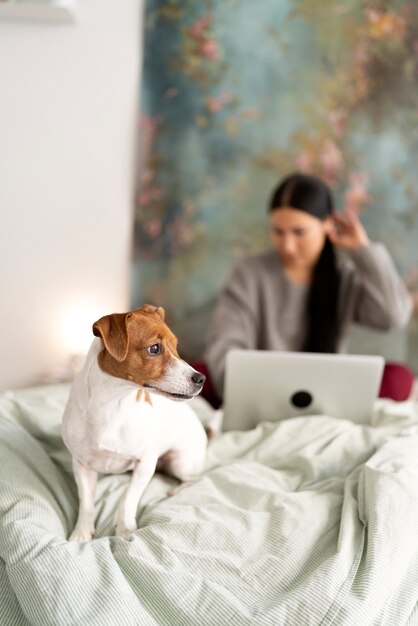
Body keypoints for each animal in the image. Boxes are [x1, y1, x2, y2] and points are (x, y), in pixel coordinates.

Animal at [61, 304, 208, 540]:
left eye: (176, 346)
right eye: (155, 348)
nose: (201, 378)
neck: (113, 405)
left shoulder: (145, 464)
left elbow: (127, 499)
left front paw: (125, 530)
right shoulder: (81, 465)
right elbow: (86, 504)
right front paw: (81, 533)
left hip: (181, 463)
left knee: (195, 478)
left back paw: (176, 490)